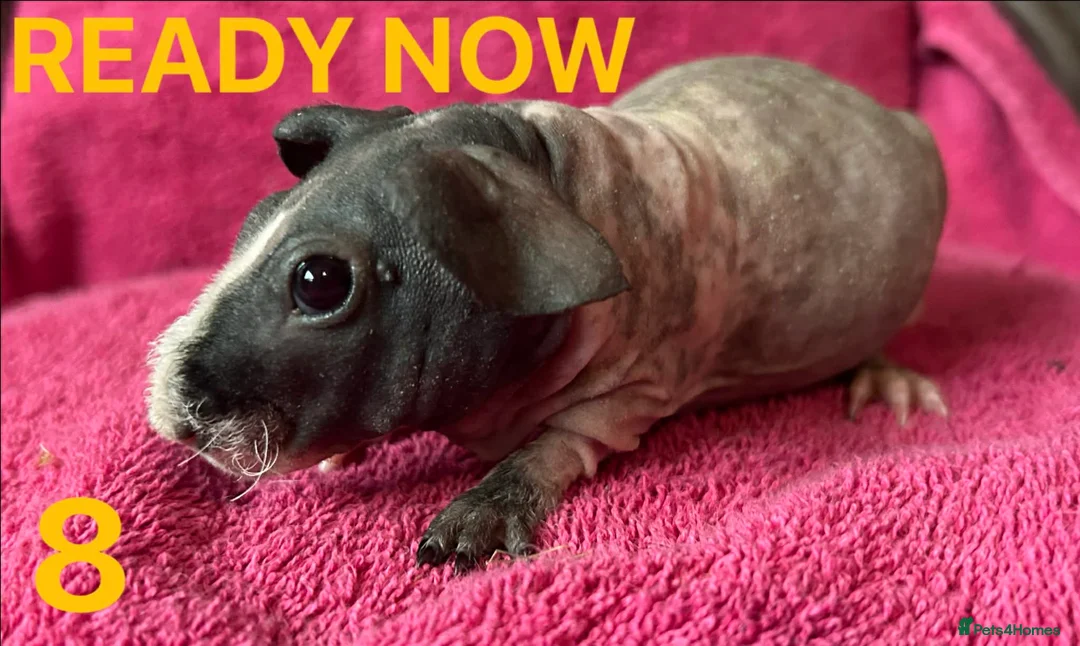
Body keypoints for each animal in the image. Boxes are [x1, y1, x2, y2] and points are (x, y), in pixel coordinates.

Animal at [146, 56, 949, 573]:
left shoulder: (631, 390)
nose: (172, 413)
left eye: (318, 282)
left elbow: (552, 449)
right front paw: (338, 458)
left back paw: (894, 388)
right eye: (254, 220)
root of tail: (896, 117)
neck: (549, 167)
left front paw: (468, 529)